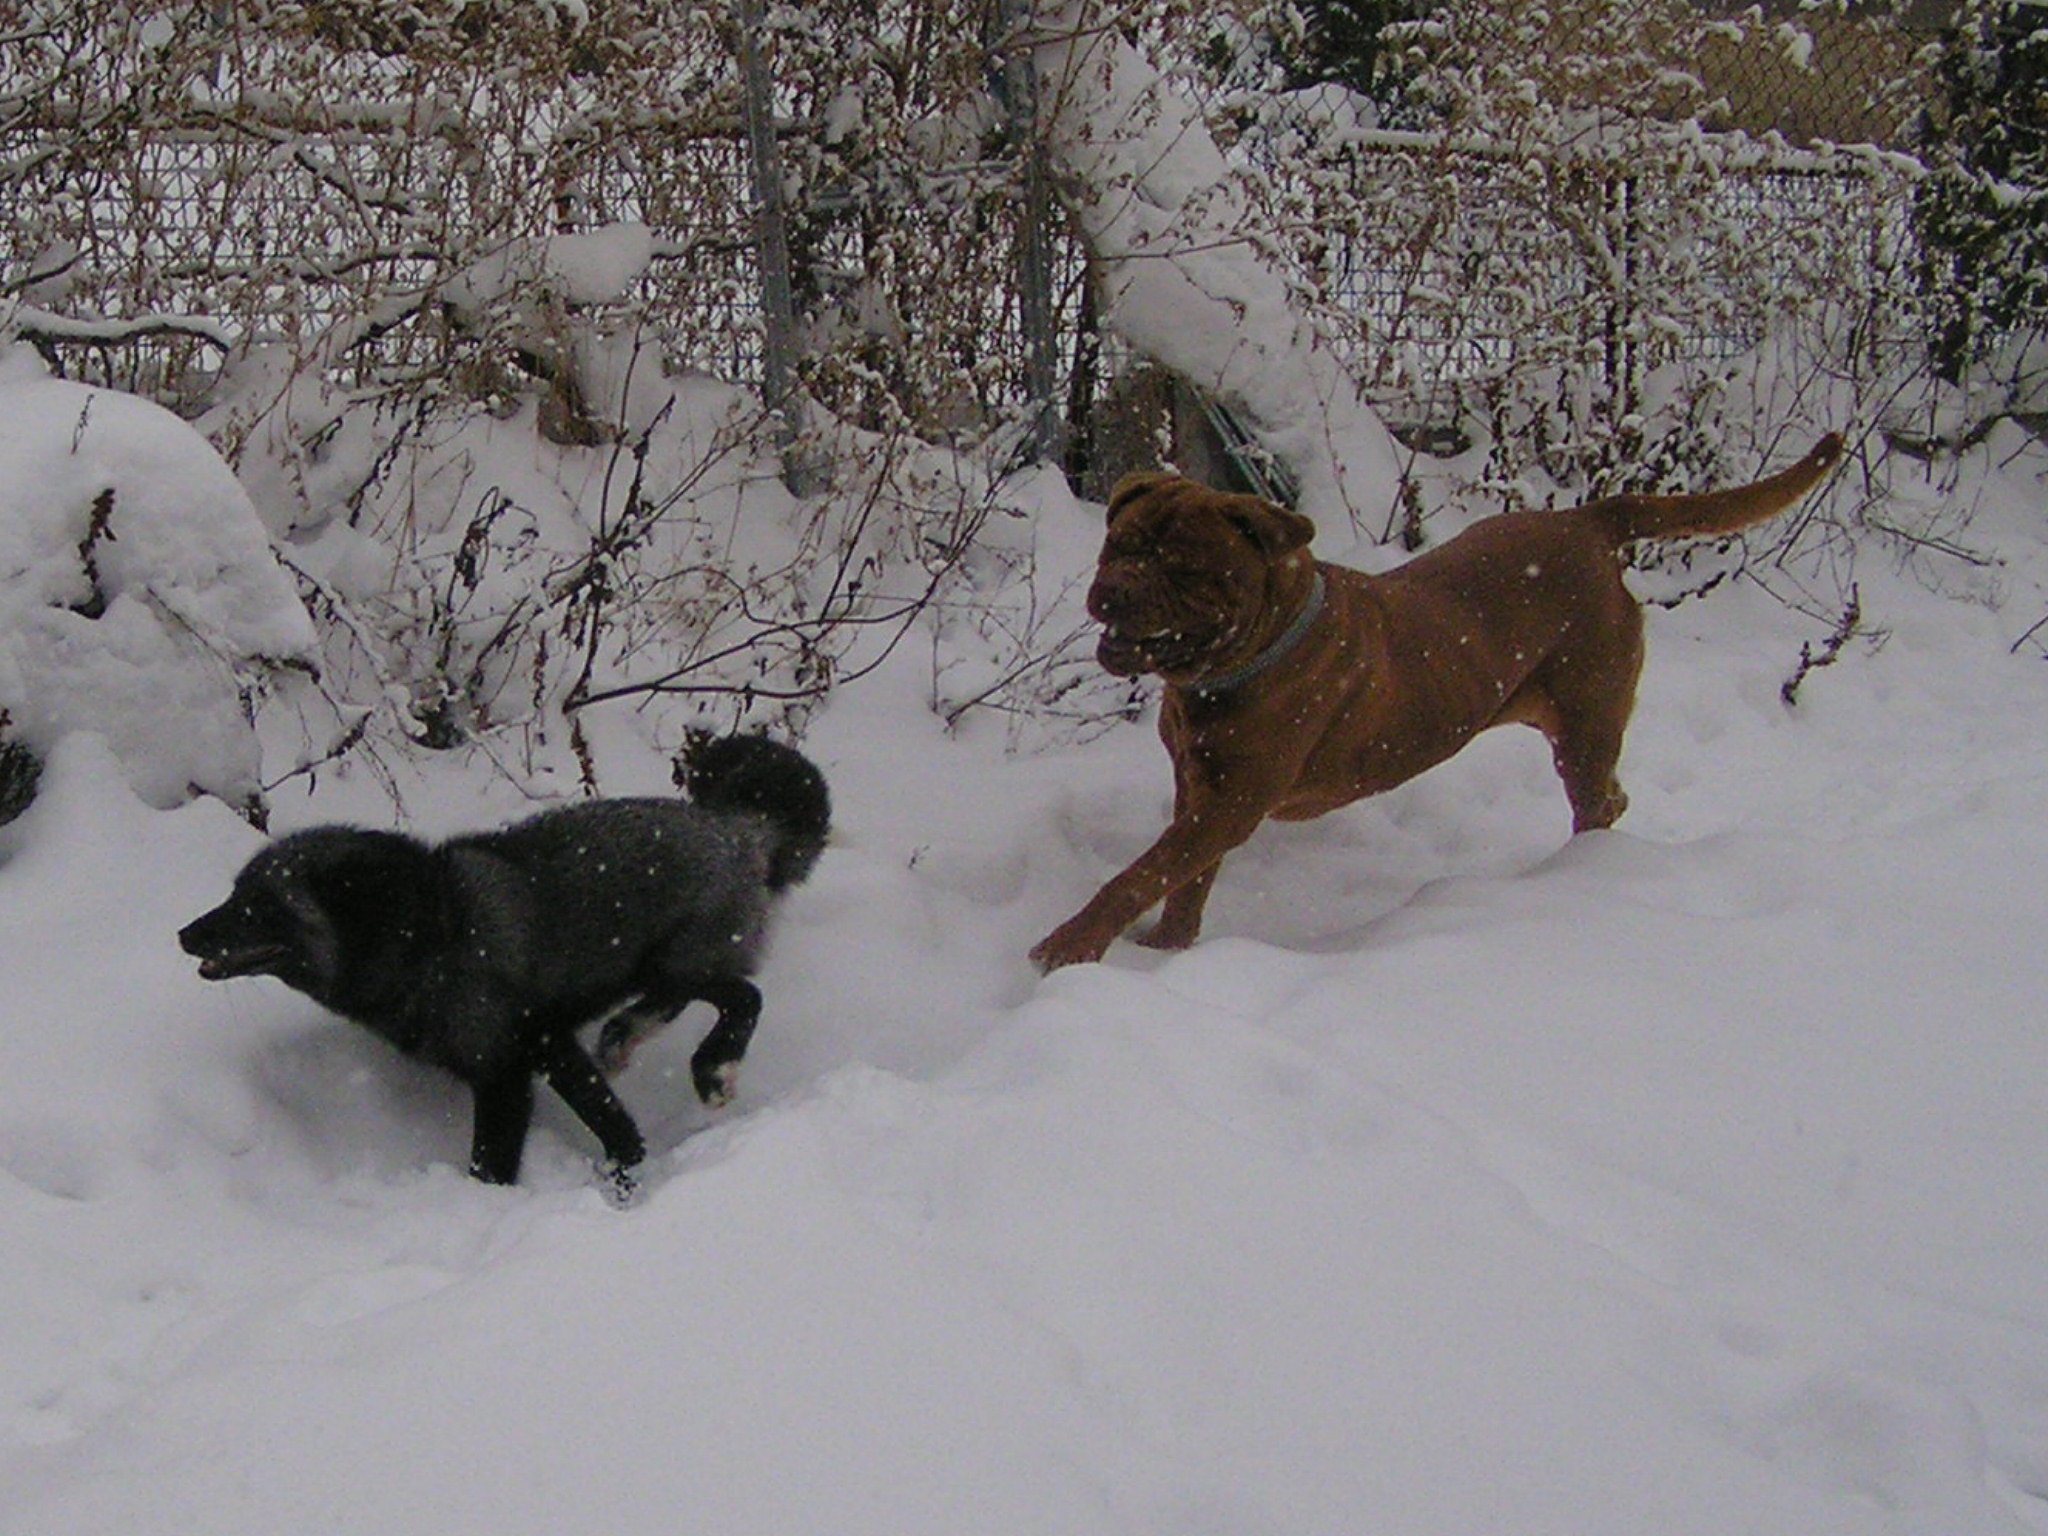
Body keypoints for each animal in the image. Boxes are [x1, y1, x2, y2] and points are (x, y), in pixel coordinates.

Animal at [179, 733, 829, 1190]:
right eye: (235, 893)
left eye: (261, 906)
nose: (184, 934)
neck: (429, 939)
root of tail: (738, 830)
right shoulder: (544, 1048)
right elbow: (604, 1117)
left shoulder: (513, 1059)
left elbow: (537, 1148)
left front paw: (623, 1183)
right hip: (659, 970)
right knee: (683, 1001)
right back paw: (624, 1035)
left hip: (677, 962)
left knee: (742, 996)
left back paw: (713, 1069)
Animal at [1031, 435, 1844, 971]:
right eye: (1121, 544)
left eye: (1184, 566)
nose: (1113, 591)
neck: (1245, 656)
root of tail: (1585, 522)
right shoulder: (1200, 790)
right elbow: (1182, 880)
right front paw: (1166, 950)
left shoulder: (1232, 802)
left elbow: (1139, 873)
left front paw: (1070, 946)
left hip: (1587, 718)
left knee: (1599, 798)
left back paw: (1582, 872)